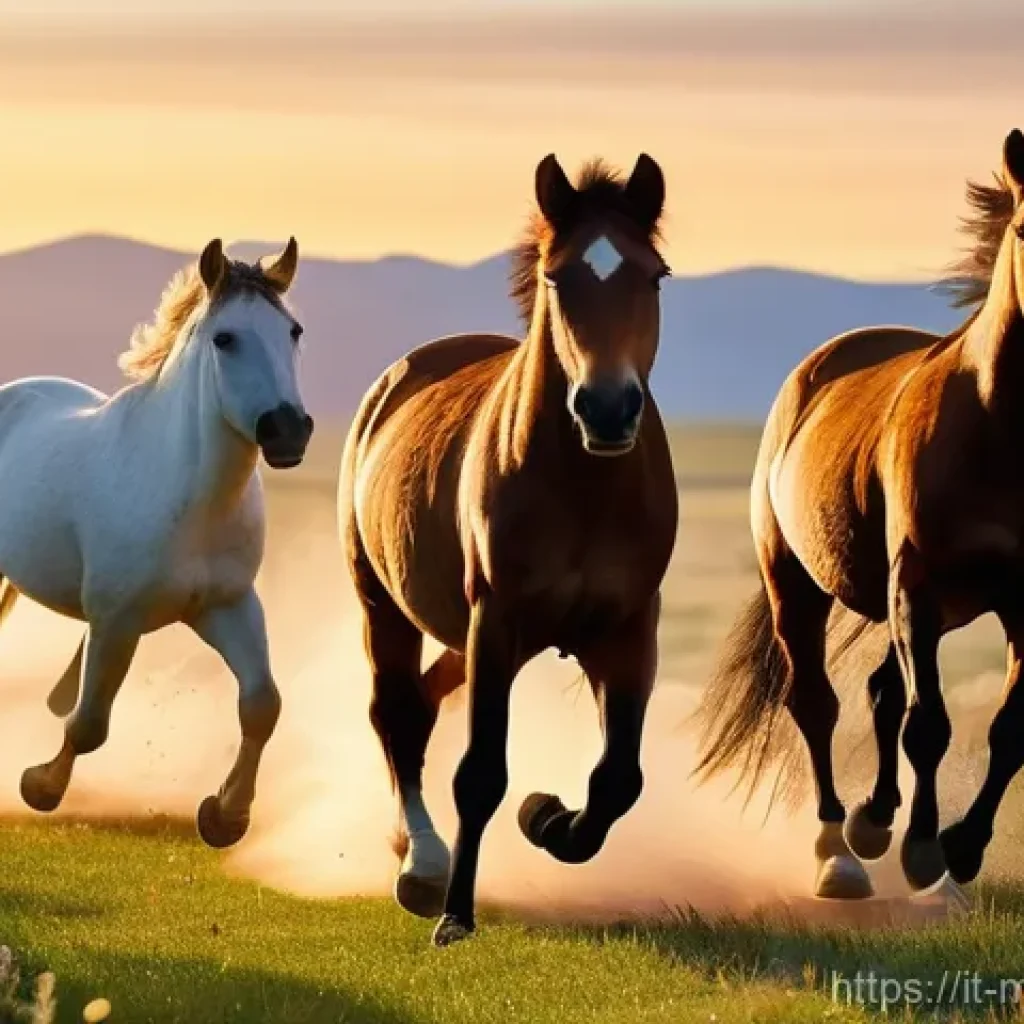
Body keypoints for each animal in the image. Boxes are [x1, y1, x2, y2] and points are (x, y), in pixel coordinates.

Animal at [7, 237, 313, 849]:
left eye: (292, 331)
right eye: (225, 338)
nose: (288, 431)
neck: (188, 496)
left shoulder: (227, 608)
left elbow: (262, 705)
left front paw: (225, 817)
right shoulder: (117, 621)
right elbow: (90, 723)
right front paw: (39, 786)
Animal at [340, 153, 678, 945]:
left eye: (654, 277)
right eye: (558, 278)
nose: (607, 408)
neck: (584, 486)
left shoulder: (627, 633)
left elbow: (618, 780)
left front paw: (548, 817)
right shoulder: (495, 624)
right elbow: (480, 774)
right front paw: (456, 915)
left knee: (421, 704)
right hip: (385, 608)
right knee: (396, 714)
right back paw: (423, 866)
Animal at [694, 129, 1024, 903]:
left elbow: (1010, 728)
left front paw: (961, 848)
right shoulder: (920, 585)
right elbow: (928, 724)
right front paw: (925, 850)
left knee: (879, 690)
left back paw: (873, 825)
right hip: (801, 586)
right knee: (818, 704)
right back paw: (838, 853)